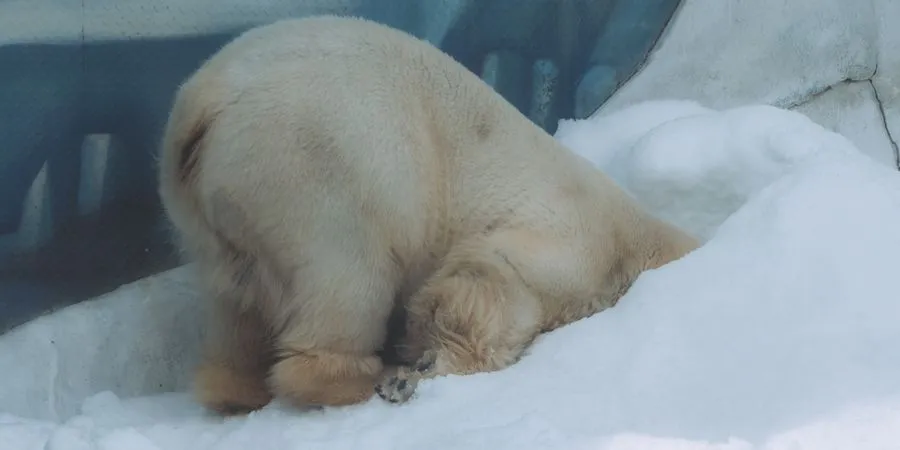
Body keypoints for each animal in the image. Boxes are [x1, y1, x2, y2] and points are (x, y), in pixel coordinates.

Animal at [157, 14, 700, 414]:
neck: (634, 239)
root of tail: (203, 105)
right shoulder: (571, 235)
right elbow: (491, 280)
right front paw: (418, 367)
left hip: (214, 213)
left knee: (236, 303)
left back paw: (234, 388)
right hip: (323, 166)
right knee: (351, 275)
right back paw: (352, 379)